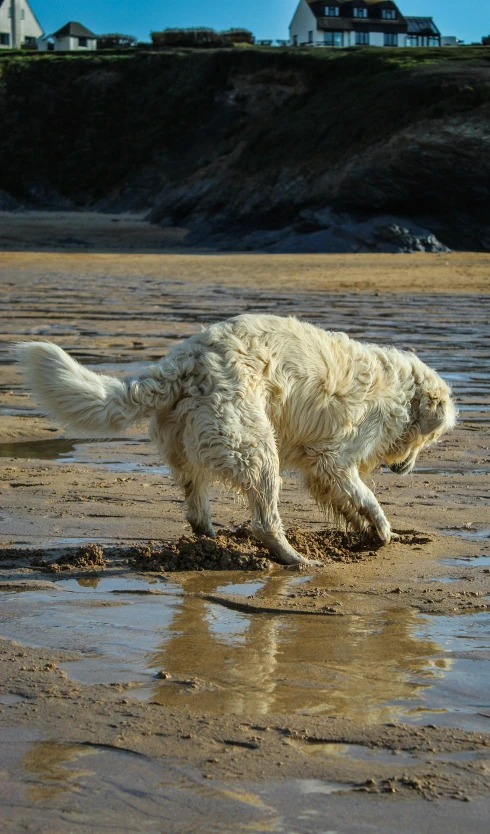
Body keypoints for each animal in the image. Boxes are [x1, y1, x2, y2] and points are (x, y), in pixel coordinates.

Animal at [17, 312, 458, 564]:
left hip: (192, 443)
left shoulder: (323, 470)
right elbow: (364, 497)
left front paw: (370, 532)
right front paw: (382, 529)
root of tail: (182, 362)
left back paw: (211, 540)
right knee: (264, 520)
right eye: (431, 440)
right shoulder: (332, 458)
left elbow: (348, 502)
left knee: (195, 503)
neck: (402, 392)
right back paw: (294, 558)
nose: (404, 471)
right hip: (256, 446)